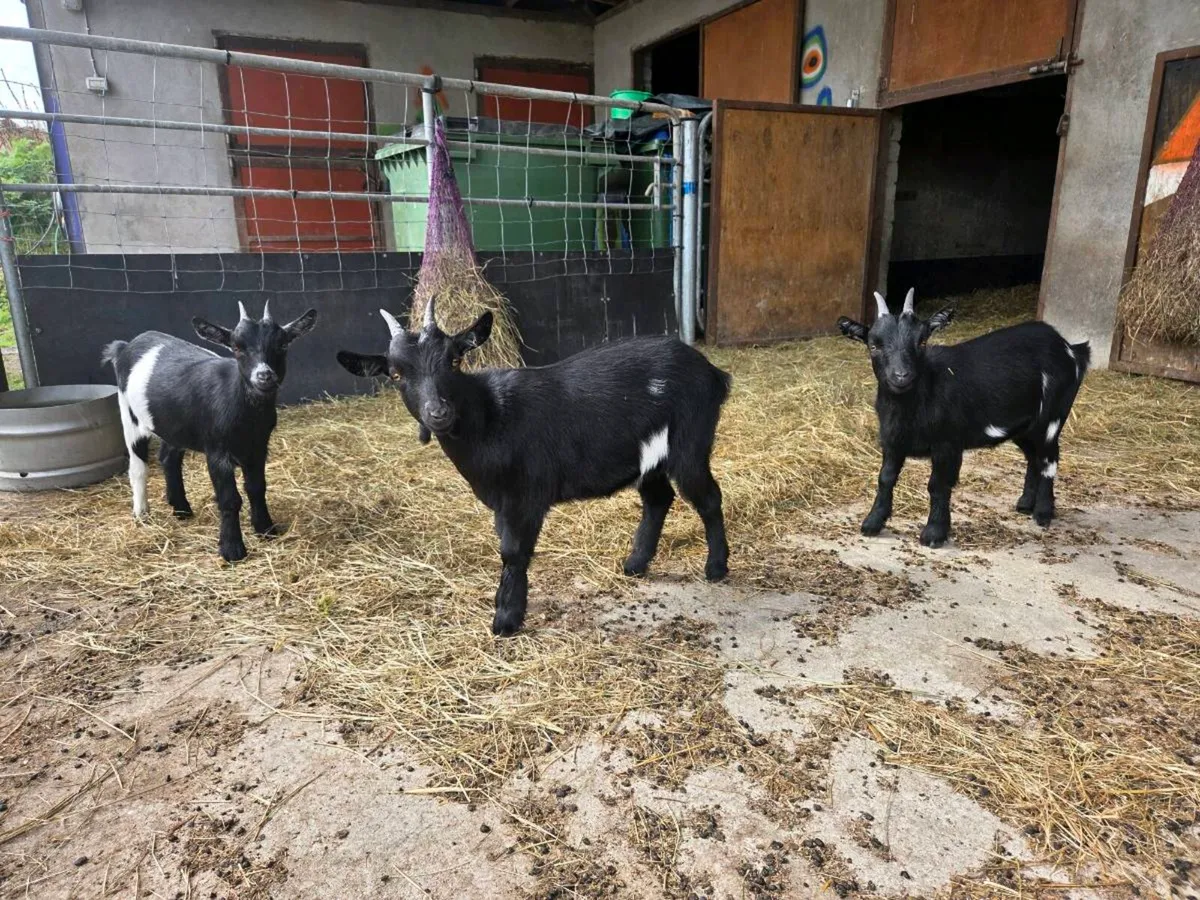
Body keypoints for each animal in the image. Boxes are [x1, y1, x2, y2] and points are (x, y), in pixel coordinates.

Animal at [102, 301, 317, 562]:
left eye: (283, 344)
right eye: (237, 347)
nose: (264, 375)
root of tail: (125, 346)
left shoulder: (257, 448)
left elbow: (257, 489)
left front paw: (266, 529)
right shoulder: (217, 450)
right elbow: (229, 499)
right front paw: (232, 549)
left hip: (173, 423)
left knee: (169, 458)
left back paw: (181, 509)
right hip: (129, 414)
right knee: (138, 466)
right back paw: (142, 513)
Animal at [337, 300, 732, 636]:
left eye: (454, 361)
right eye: (395, 374)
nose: (439, 413)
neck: (491, 417)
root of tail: (714, 373)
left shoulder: (524, 496)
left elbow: (513, 552)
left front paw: (507, 618)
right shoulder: (502, 502)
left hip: (690, 442)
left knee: (708, 497)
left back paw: (716, 568)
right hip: (646, 456)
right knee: (658, 498)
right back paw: (635, 564)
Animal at [838, 288, 1089, 547]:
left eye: (922, 341)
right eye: (873, 346)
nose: (901, 376)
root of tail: (1071, 349)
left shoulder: (947, 443)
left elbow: (938, 485)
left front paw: (934, 533)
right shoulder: (892, 442)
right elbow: (885, 478)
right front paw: (872, 522)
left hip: (1051, 417)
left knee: (1049, 459)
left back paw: (1043, 513)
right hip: (1024, 426)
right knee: (1034, 458)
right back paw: (1025, 504)